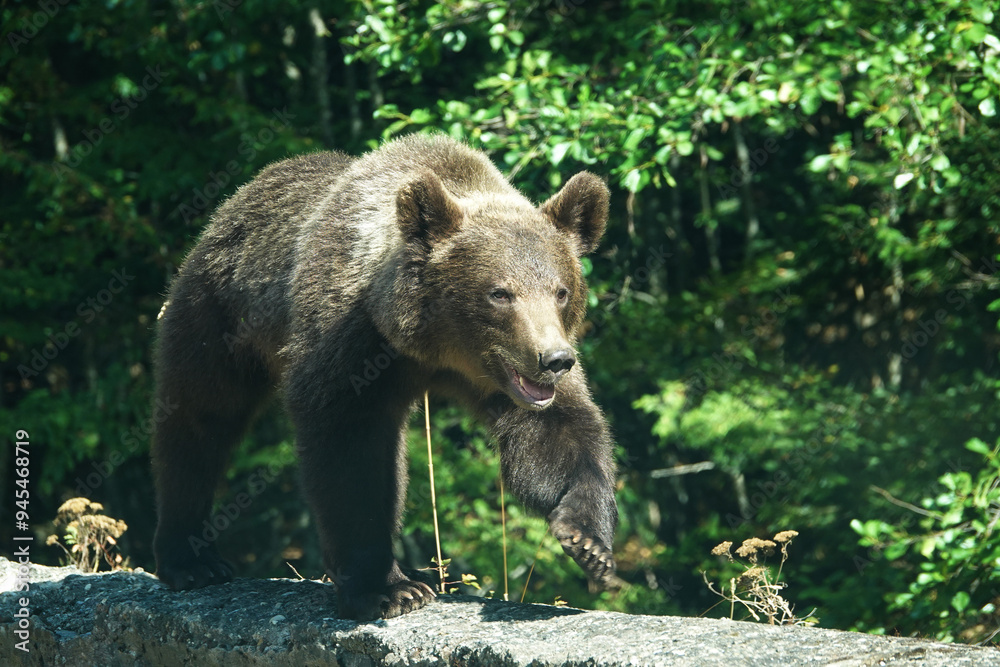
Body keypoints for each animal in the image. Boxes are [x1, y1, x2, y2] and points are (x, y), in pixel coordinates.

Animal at [150, 134, 618, 621]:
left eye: (561, 291)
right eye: (500, 293)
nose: (554, 359)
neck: (437, 348)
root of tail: (235, 202)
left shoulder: (507, 377)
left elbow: (558, 434)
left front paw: (587, 542)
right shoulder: (351, 341)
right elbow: (350, 452)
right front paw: (387, 589)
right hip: (218, 312)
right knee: (200, 418)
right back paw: (191, 560)